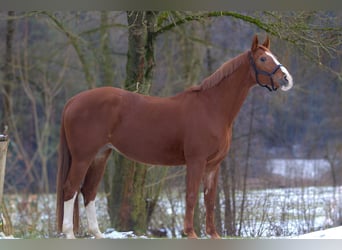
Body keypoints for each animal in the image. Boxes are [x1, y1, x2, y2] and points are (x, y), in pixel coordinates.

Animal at [56, 34, 294, 238]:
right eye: (263, 58)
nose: (286, 79)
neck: (212, 107)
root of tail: (73, 101)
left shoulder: (213, 165)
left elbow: (210, 200)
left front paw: (213, 234)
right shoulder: (196, 161)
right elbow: (191, 196)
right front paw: (190, 233)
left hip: (100, 155)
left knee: (88, 191)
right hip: (83, 157)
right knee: (70, 189)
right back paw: (69, 233)